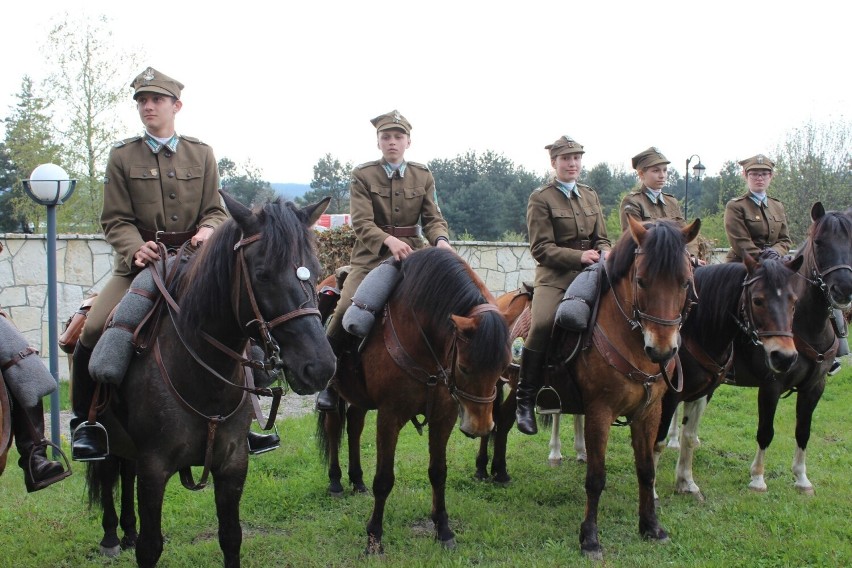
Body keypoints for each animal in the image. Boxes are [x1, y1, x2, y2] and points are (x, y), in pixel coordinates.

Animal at [316, 247, 510, 556]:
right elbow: (384, 479)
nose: (480, 427)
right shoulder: (390, 416)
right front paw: (374, 537)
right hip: (337, 393)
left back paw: (357, 480)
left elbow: (438, 472)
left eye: (503, 365)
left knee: (355, 427)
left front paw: (443, 530)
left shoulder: (444, 416)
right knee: (334, 428)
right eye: (465, 367)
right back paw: (335, 481)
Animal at [676, 202, 848, 494]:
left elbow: (804, 430)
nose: (844, 287)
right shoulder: (771, 385)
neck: (805, 325)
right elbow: (766, 430)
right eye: (820, 242)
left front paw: (801, 477)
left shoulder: (815, 386)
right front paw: (757, 477)